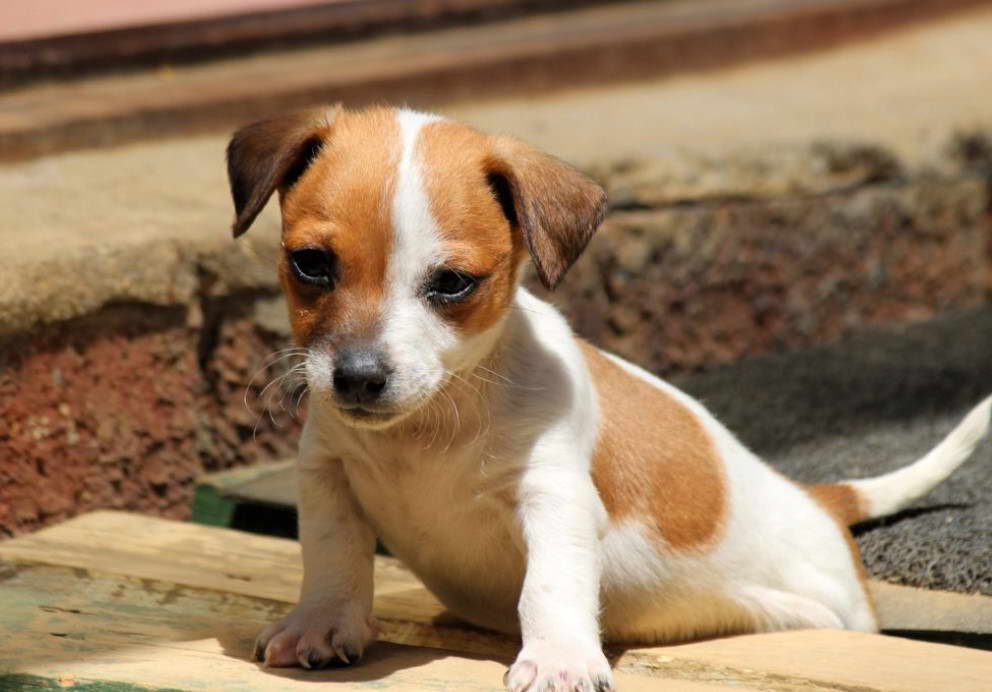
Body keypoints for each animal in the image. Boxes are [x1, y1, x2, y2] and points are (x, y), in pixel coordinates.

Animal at [227, 104, 992, 692]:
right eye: (310, 264)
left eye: (451, 283)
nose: (357, 378)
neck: (433, 423)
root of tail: (818, 500)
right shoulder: (327, 474)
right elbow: (332, 557)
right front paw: (322, 624)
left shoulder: (556, 497)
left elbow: (549, 585)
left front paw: (559, 659)